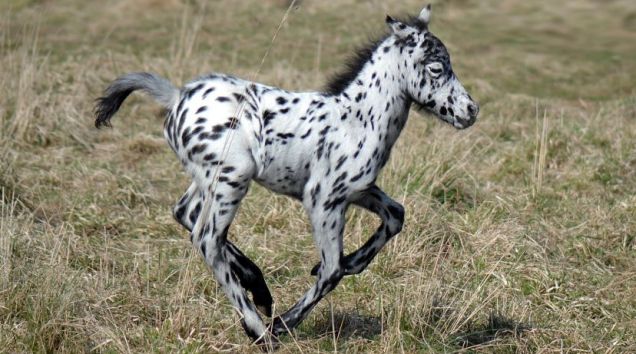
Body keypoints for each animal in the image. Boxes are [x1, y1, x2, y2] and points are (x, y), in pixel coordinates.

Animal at [95, 4, 476, 346]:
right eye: (436, 67)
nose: (470, 110)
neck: (357, 118)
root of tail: (176, 97)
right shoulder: (323, 199)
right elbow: (332, 270)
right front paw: (283, 323)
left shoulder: (359, 190)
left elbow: (395, 216)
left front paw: (351, 263)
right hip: (232, 179)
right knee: (207, 238)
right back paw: (259, 330)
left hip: (208, 179)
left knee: (186, 214)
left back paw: (259, 290)